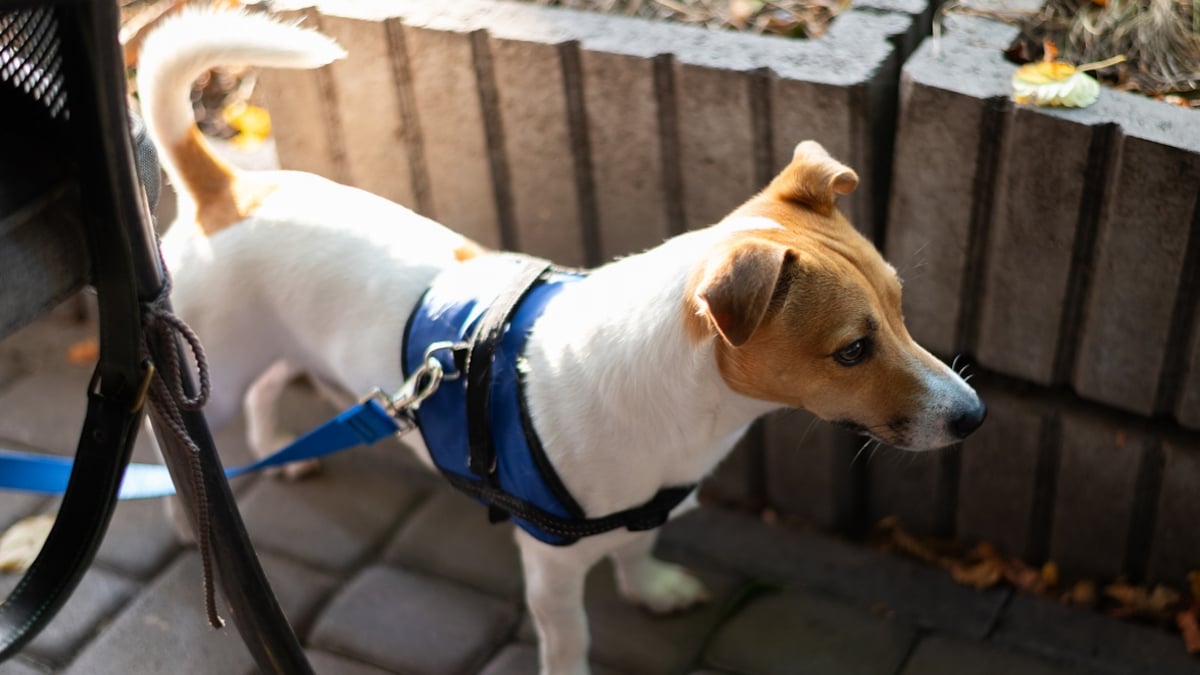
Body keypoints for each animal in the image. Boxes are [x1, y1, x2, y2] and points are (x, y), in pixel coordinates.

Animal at [140, 7, 984, 667]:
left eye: (902, 307)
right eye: (851, 350)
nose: (975, 415)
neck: (682, 408)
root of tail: (227, 190)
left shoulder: (646, 514)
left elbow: (640, 549)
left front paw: (652, 590)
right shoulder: (550, 570)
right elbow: (570, 638)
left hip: (283, 351)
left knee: (269, 391)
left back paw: (281, 451)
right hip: (211, 379)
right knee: (186, 455)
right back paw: (191, 521)